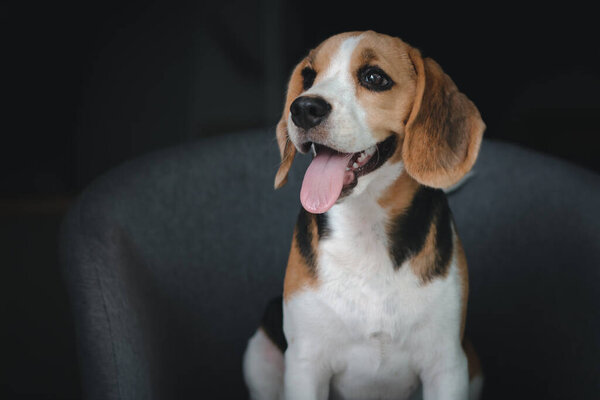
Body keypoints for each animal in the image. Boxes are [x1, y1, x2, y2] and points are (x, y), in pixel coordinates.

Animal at [241, 30, 486, 400]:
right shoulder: (305, 364)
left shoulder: (447, 366)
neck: (366, 227)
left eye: (374, 78)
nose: (303, 108)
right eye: (309, 77)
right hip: (259, 352)